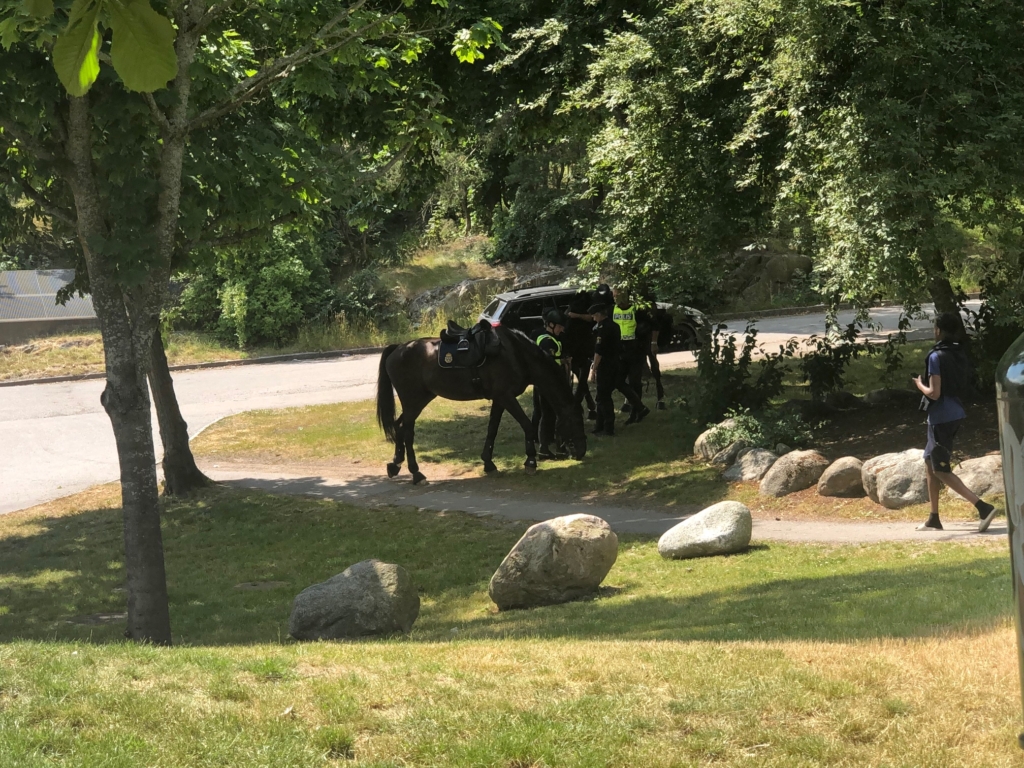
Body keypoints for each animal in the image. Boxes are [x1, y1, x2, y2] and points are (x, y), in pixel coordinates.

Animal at [376, 325, 589, 483]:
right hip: (412, 401)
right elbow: (527, 425)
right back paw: (416, 473)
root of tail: (398, 348)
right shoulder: (506, 397)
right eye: (576, 419)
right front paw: (530, 461)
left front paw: (489, 464)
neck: (517, 354)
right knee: (407, 432)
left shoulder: (499, 399)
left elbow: (492, 429)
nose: (582, 452)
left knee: (399, 427)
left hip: (419, 400)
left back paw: (395, 465)